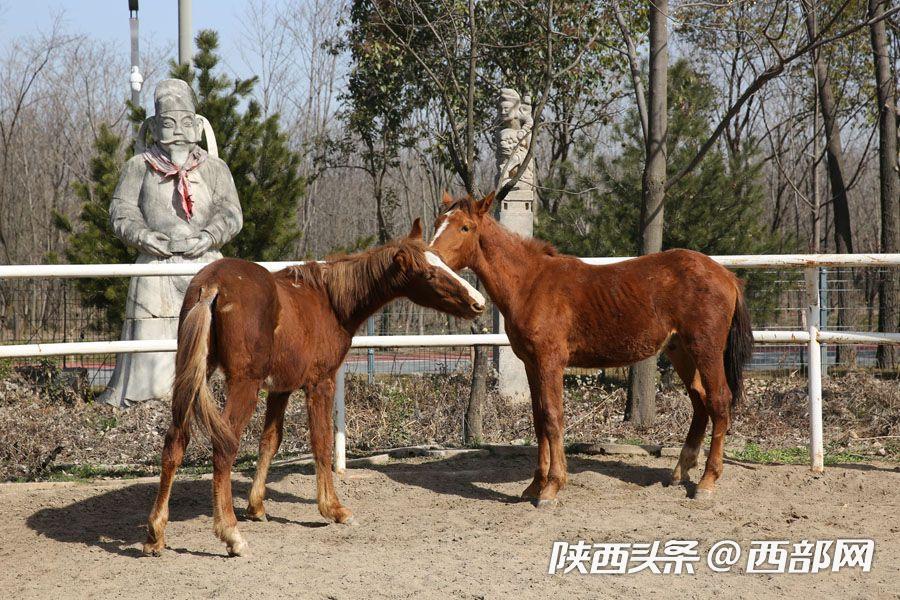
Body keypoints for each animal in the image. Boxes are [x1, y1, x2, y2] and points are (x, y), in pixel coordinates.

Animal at [143, 219, 485, 557]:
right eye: (428, 273)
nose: (478, 303)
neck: (330, 301)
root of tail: (211, 285)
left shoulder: (280, 389)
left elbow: (270, 441)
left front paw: (257, 507)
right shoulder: (320, 384)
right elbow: (322, 443)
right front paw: (334, 509)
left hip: (191, 380)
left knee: (175, 442)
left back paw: (156, 534)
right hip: (243, 386)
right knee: (224, 446)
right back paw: (231, 534)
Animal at [429, 192, 753, 506]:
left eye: (465, 227)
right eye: (437, 222)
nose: (432, 263)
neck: (530, 283)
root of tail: (727, 276)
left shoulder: (550, 363)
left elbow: (552, 417)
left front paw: (551, 488)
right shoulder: (531, 364)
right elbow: (538, 419)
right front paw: (534, 486)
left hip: (706, 349)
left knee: (718, 401)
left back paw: (706, 483)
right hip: (680, 351)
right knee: (700, 401)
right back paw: (680, 472)